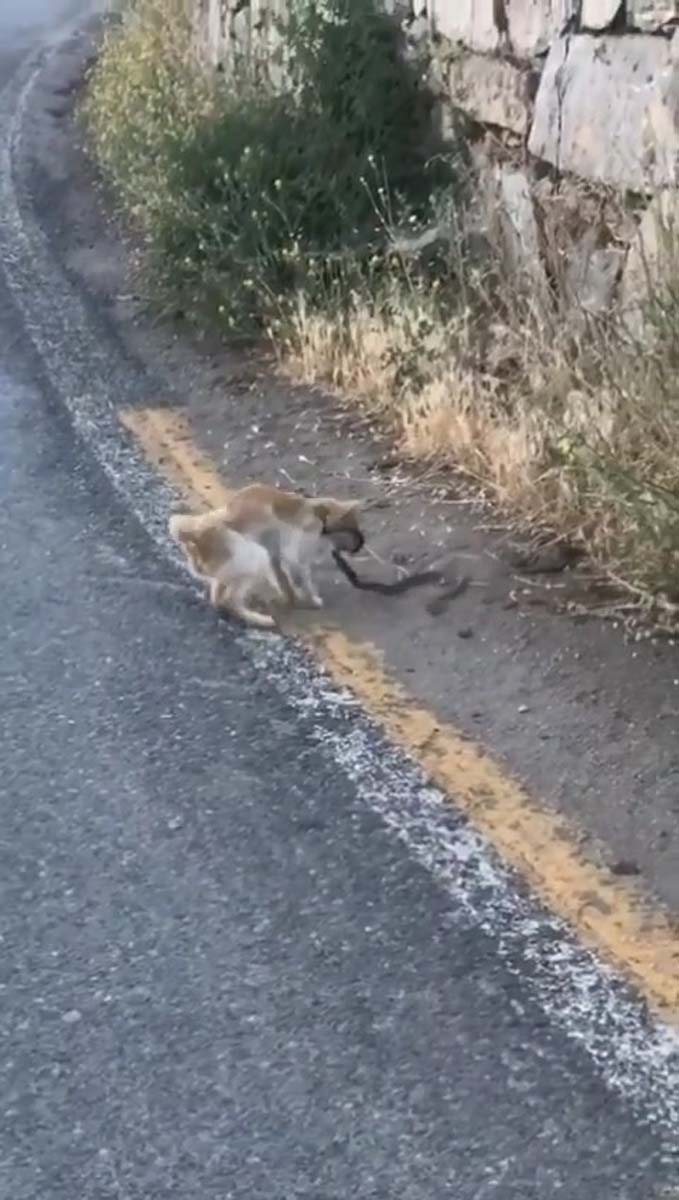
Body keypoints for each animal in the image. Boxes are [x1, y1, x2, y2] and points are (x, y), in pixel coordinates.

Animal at [169, 480, 367, 628]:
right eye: (354, 530)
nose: (362, 544)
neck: (320, 517)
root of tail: (197, 537)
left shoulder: (275, 554)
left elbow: (283, 578)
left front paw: (290, 596)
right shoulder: (294, 556)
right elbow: (304, 581)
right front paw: (311, 599)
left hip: (235, 566)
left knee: (218, 599)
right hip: (255, 555)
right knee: (231, 600)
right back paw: (260, 619)